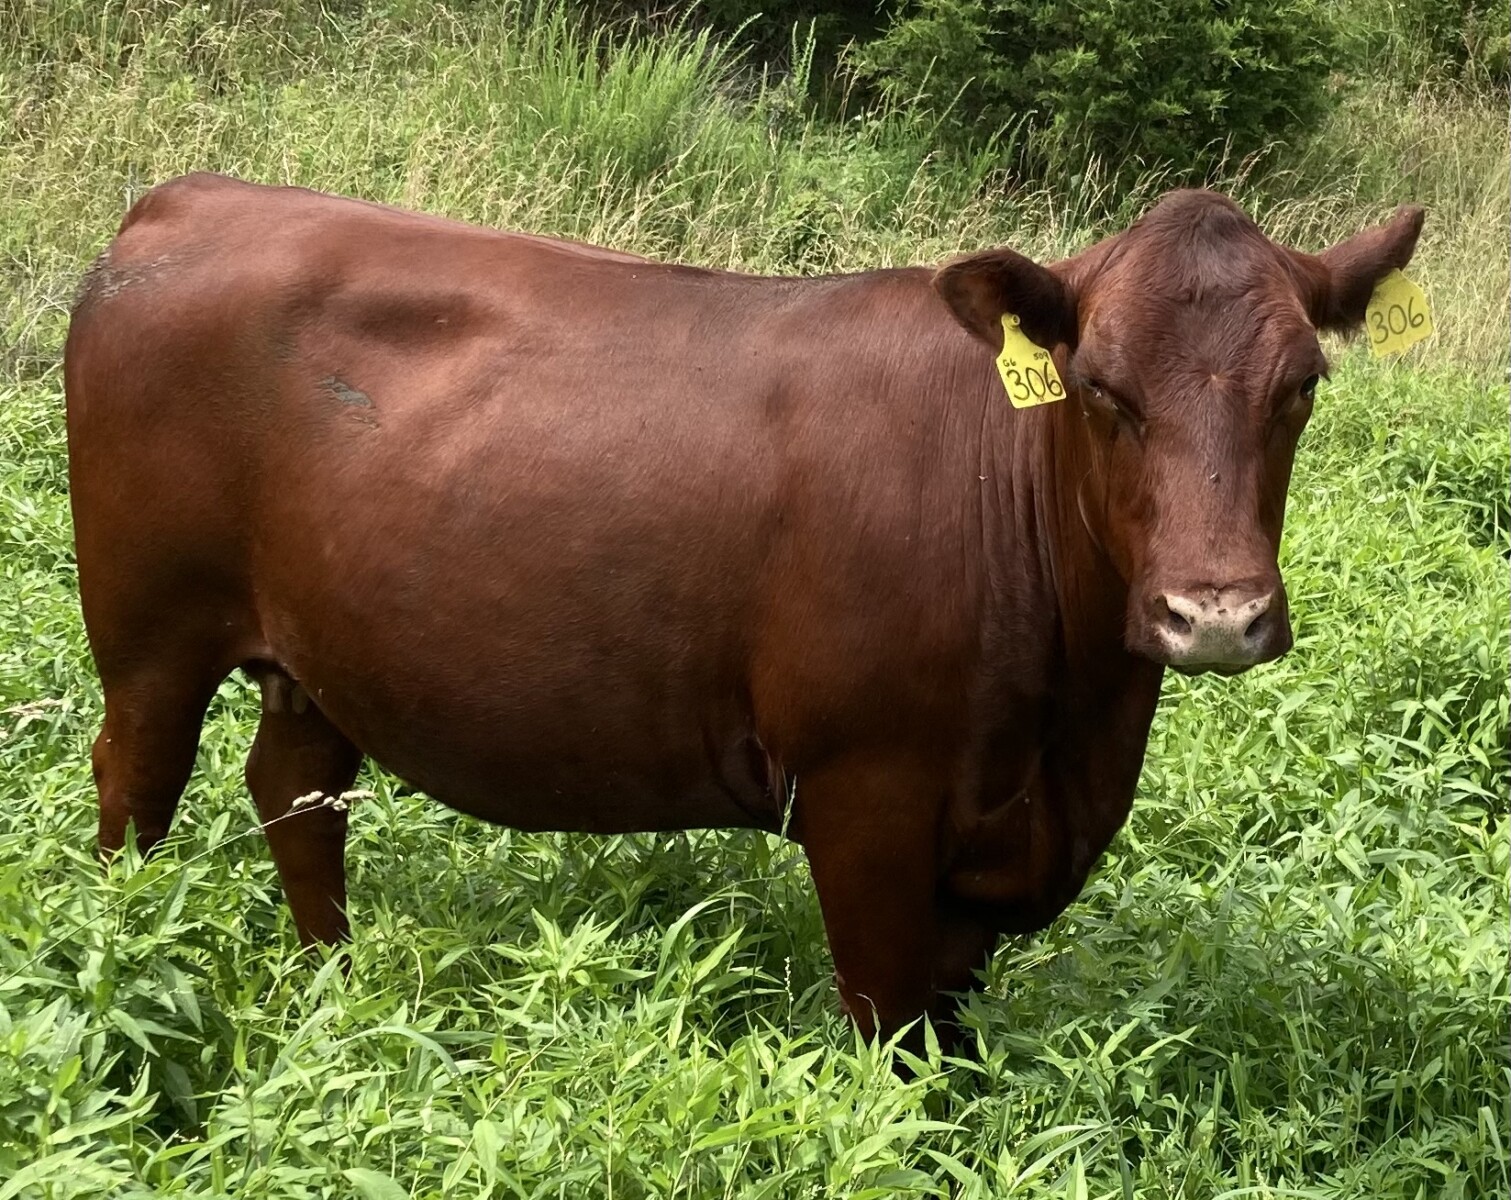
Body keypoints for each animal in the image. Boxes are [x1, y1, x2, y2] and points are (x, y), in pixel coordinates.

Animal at [65, 173, 1423, 1049]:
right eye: (1099, 388)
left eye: (1300, 385)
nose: (1215, 614)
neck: (1071, 727)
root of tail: (190, 199)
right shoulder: (863, 796)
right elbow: (889, 1037)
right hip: (147, 631)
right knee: (136, 781)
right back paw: (124, 960)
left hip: (315, 651)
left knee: (296, 793)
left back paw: (332, 992)